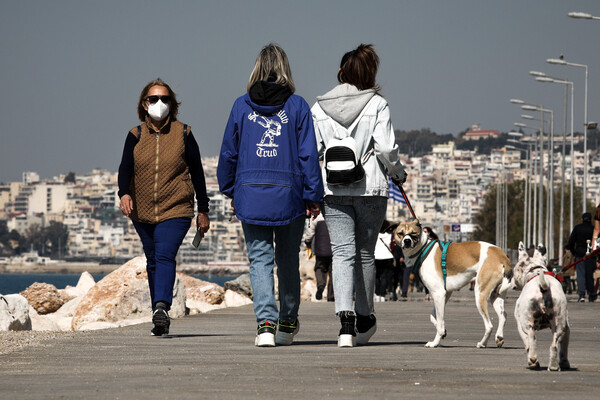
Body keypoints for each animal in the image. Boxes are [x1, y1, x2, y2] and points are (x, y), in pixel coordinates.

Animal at [392, 220, 512, 348]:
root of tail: (502, 256)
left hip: (480, 294)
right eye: (400, 233)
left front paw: (435, 342)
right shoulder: (445, 293)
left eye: (413, 233)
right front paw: (444, 331)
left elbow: (439, 323)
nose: (407, 241)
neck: (423, 248)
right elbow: (434, 317)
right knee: (503, 315)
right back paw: (499, 337)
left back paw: (482, 343)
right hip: (496, 295)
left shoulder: (439, 293)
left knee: (489, 325)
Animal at [510, 241, 572, 372]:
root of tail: (543, 286)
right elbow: (563, 348)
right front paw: (564, 363)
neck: (535, 272)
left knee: (532, 338)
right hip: (559, 323)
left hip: (526, 324)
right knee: (554, 344)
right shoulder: (567, 328)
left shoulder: (520, 326)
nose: (513, 284)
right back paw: (554, 366)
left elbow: (527, 342)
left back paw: (533, 361)